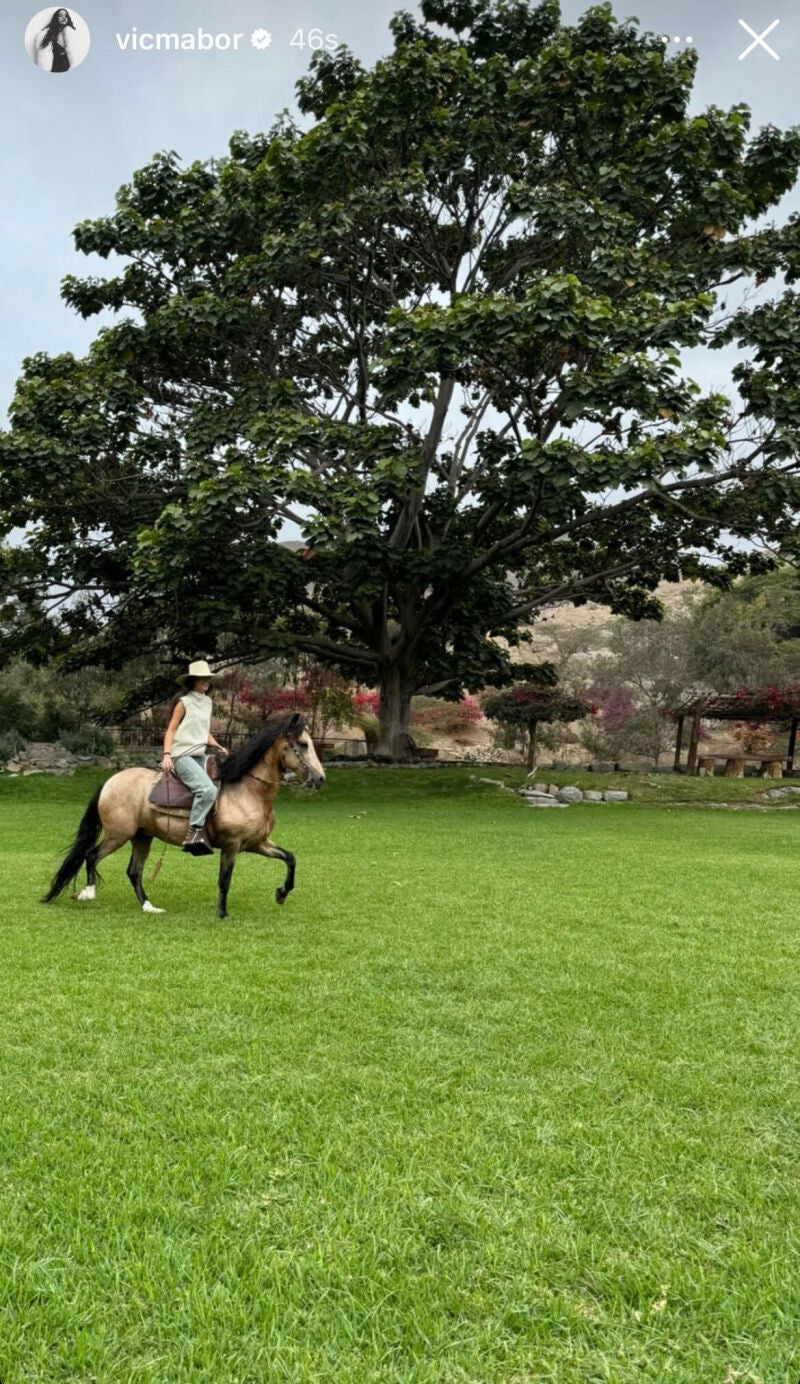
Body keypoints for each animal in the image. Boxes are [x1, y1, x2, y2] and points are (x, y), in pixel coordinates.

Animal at [42, 714, 323, 918]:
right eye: (303, 744)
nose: (320, 778)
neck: (246, 789)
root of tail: (110, 781)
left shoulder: (257, 844)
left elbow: (290, 859)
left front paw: (282, 893)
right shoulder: (231, 846)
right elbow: (224, 880)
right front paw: (222, 914)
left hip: (142, 837)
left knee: (133, 872)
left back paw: (149, 907)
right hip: (118, 834)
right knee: (91, 856)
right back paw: (88, 893)